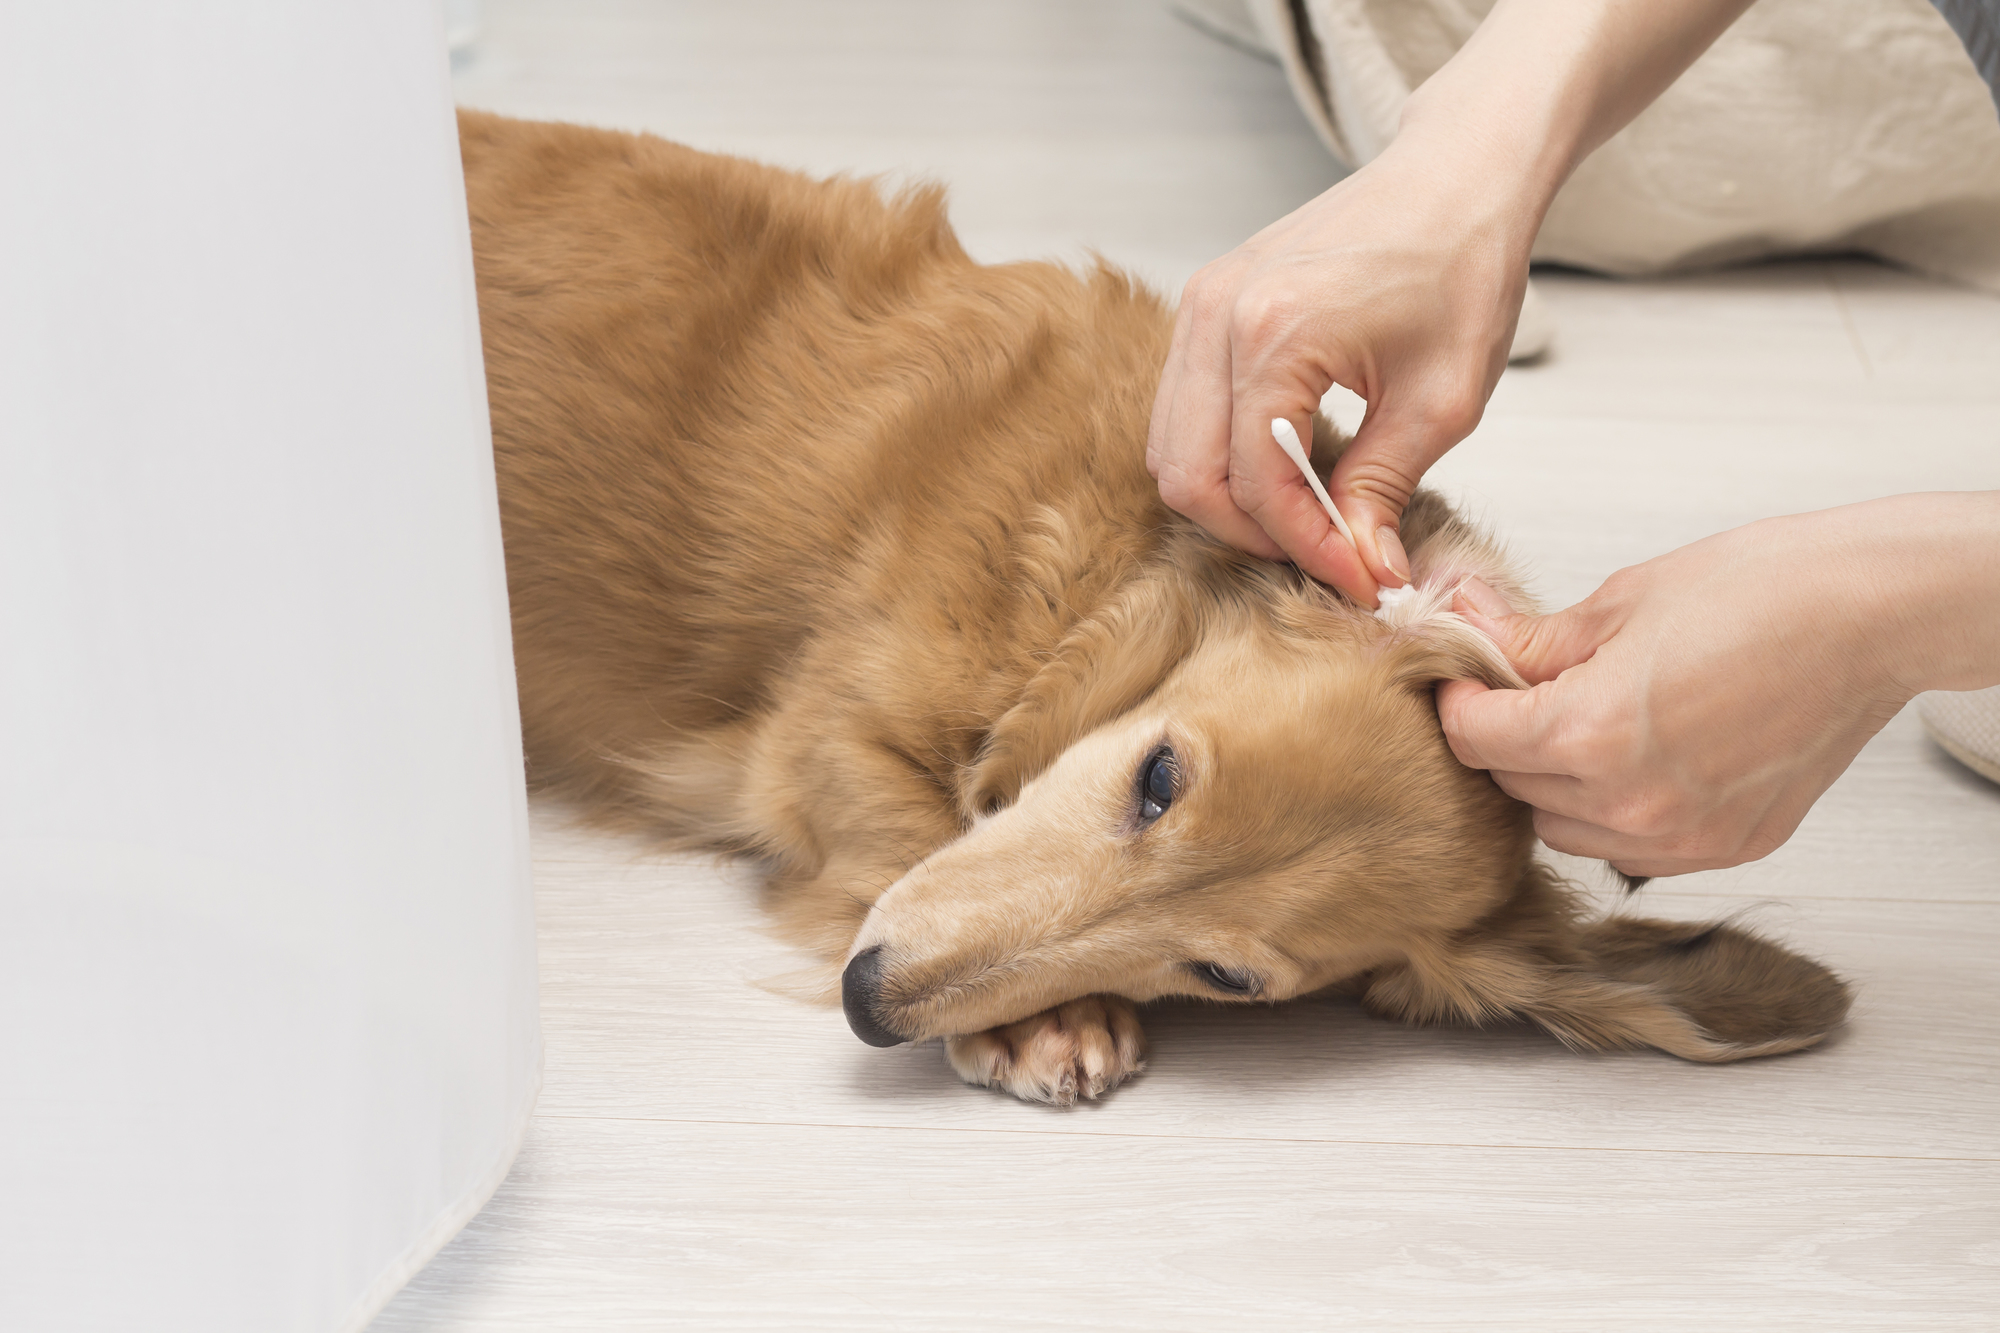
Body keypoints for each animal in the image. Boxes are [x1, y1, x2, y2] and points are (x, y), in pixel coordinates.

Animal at [460, 111, 1848, 1096]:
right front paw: (1049, 1022)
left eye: (1224, 973)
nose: (870, 1003)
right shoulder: (816, 742)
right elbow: (901, 820)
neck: (1079, 574)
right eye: (1158, 776)